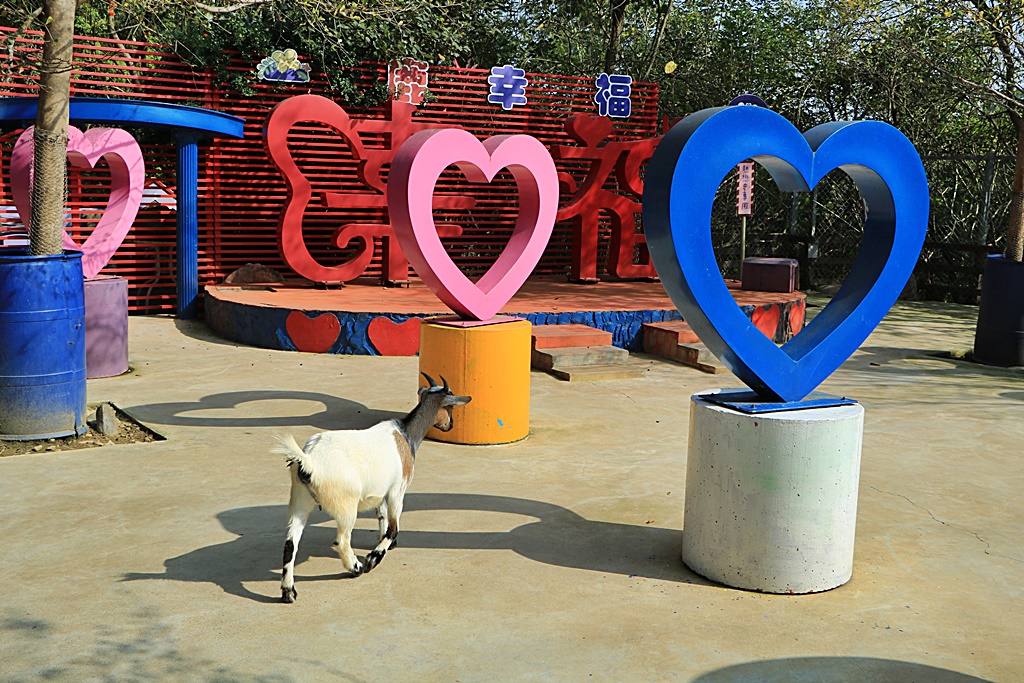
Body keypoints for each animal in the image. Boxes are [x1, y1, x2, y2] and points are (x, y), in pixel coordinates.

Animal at [272, 374, 471, 602]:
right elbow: (393, 528)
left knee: (290, 544)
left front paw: (385, 544)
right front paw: (373, 558)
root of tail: (310, 460)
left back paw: (289, 591)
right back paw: (356, 567)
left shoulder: (380, 492)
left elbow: (382, 516)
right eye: (450, 407)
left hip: (299, 500)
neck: (405, 434)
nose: (450, 425)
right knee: (341, 540)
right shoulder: (397, 490)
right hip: (345, 506)